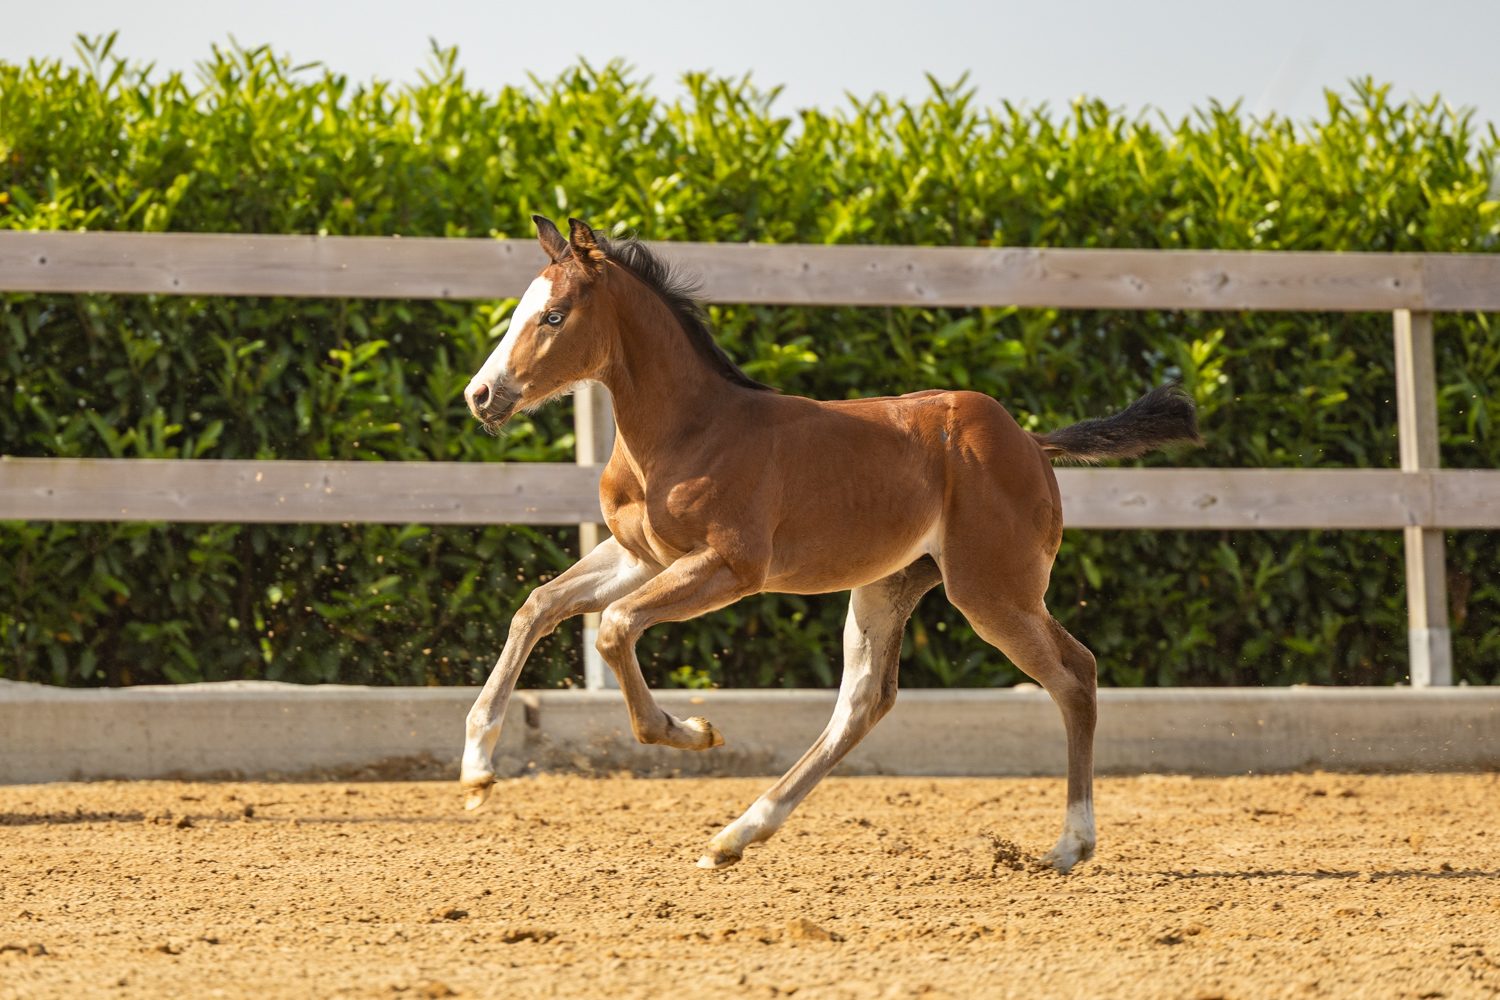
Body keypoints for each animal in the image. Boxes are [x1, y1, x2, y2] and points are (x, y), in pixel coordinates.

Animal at [459, 216, 1200, 874]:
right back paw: (736, 836)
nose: (482, 395)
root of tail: (1030, 442)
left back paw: (1072, 844)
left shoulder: (729, 567)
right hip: (889, 584)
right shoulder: (641, 556)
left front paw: (687, 731)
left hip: (995, 592)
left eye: (554, 317)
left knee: (1075, 673)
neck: (690, 430)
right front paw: (477, 768)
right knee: (864, 701)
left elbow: (613, 627)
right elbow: (539, 606)